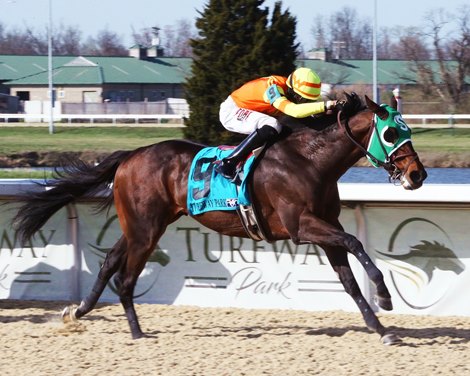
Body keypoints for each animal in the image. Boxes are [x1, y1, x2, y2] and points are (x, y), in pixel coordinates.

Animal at [12, 93, 428, 344]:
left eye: (407, 130)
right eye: (391, 133)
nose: (418, 174)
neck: (311, 162)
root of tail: (131, 155)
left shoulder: (327, 228)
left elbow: (349, 280)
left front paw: (381, 328)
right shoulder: (302, 227)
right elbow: (357, 244)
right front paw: (385, 295)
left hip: (140, 226)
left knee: (109, 264)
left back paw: (78, 311)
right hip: (146, 230)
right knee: (124, 278)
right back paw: (137, 332)